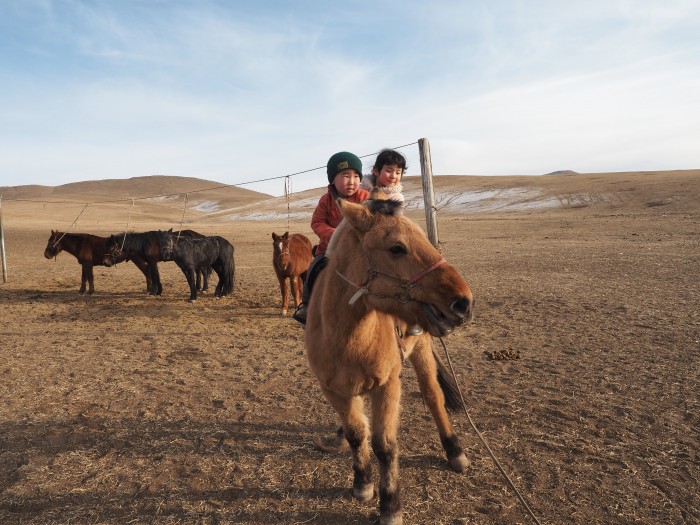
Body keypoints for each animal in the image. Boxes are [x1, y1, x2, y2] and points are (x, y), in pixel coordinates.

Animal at [304, 195, 474, 524]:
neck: (346, 338)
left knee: (433, 396)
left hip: (421, 349)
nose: (464, 302)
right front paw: (362, 483)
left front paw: (390, 504)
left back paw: (454, 450)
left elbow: (384, 445)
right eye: (397, 248)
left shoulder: (387, 385)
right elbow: (357, 434)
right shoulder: (333, 390)